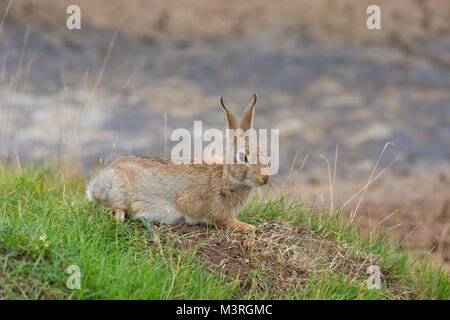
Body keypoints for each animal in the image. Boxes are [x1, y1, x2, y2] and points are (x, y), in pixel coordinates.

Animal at [87, 94, 270, 231]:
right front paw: (248, 227)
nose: (265, 178)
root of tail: (95, 182)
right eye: (243, 157)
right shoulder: (202, 206)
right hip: (118, 191)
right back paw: (118, 215)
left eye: (264, 153)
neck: (226, 178)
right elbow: (221, 220)